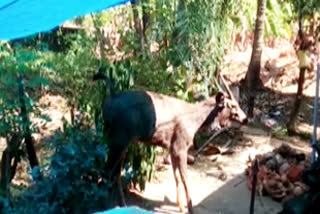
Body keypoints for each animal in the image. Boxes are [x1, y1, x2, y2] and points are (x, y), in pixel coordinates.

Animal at [93, 72, 248, 213]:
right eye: (233, 106)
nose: (245, 118)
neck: (195, 121)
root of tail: (109, 99)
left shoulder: (171, 148)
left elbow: (176, 177)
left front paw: (181, 207)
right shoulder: (181, 146)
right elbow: (185, 178)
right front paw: (190, 209)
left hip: (122, 142)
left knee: (115, 173)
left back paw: (122, 205)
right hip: (118, 139)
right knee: (107, 171)